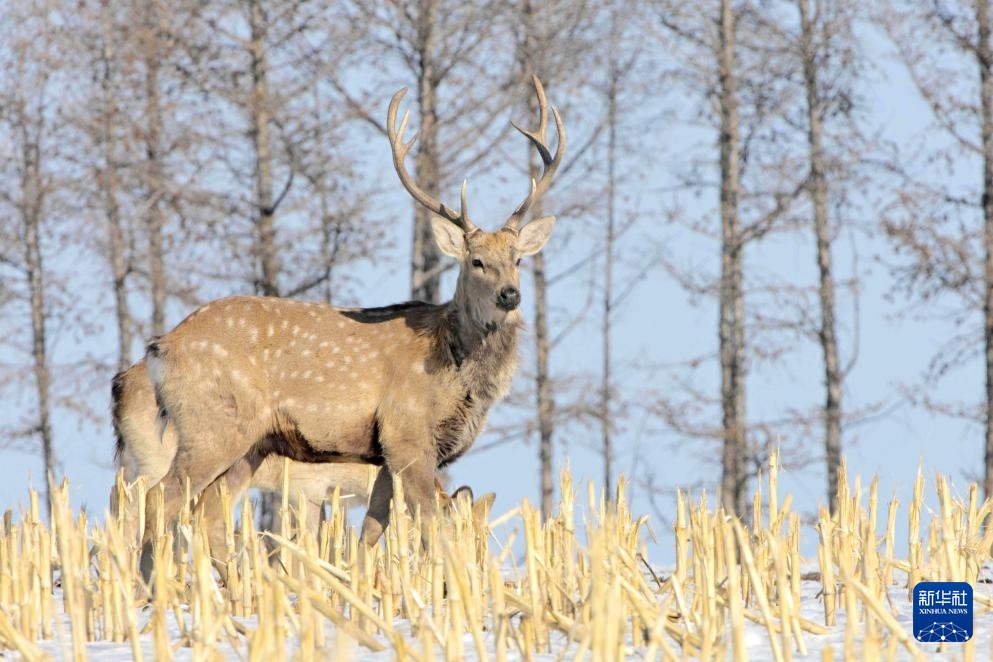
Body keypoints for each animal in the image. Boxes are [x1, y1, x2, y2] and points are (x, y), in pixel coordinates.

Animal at [138, 75, 564, 580]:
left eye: (517, 259)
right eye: (476, 261)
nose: (509, 295)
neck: (455, 372)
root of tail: (160, 347)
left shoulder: (384, 452)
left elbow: (372, 531)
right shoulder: (407, 434)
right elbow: (430, 530)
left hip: (251, 443)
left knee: (209, 513)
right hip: (211, 424)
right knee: (160, 497)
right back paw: (148, 585)